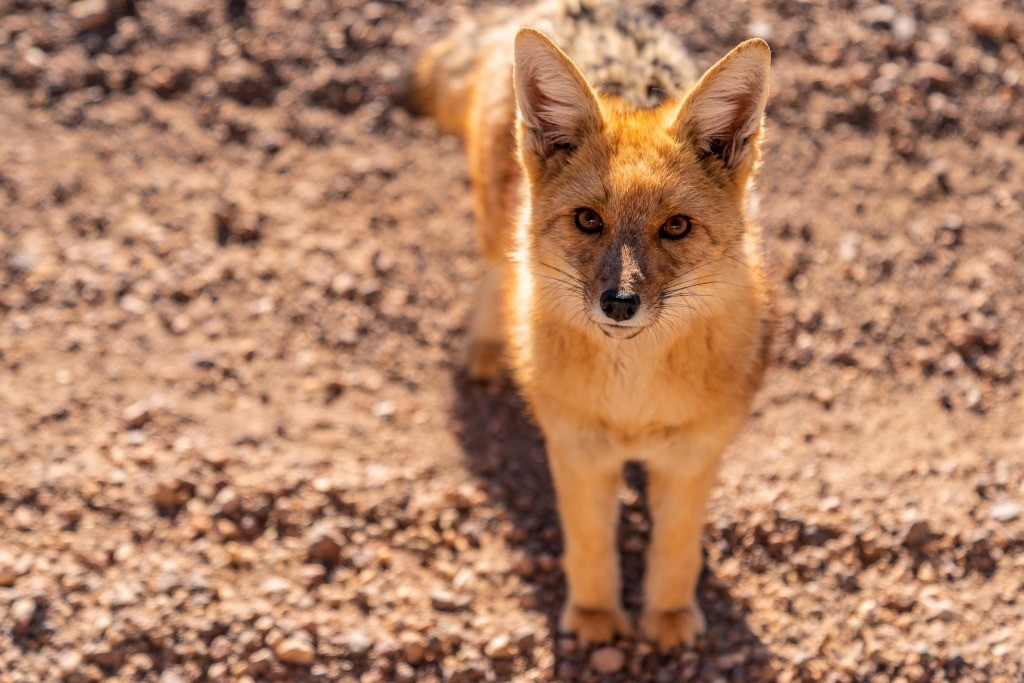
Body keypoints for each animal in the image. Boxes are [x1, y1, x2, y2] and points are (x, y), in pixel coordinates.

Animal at [407, 0, 770, 651]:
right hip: (493, 223)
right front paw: (597, 616)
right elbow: (589, 543)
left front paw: (668, 615)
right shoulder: (577, 450)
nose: (618, 303)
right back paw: (488, 346)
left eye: (676, 227)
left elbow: (677, 547)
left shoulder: (692, 455)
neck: (633, 406)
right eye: (588, 220)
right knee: (500, 265)